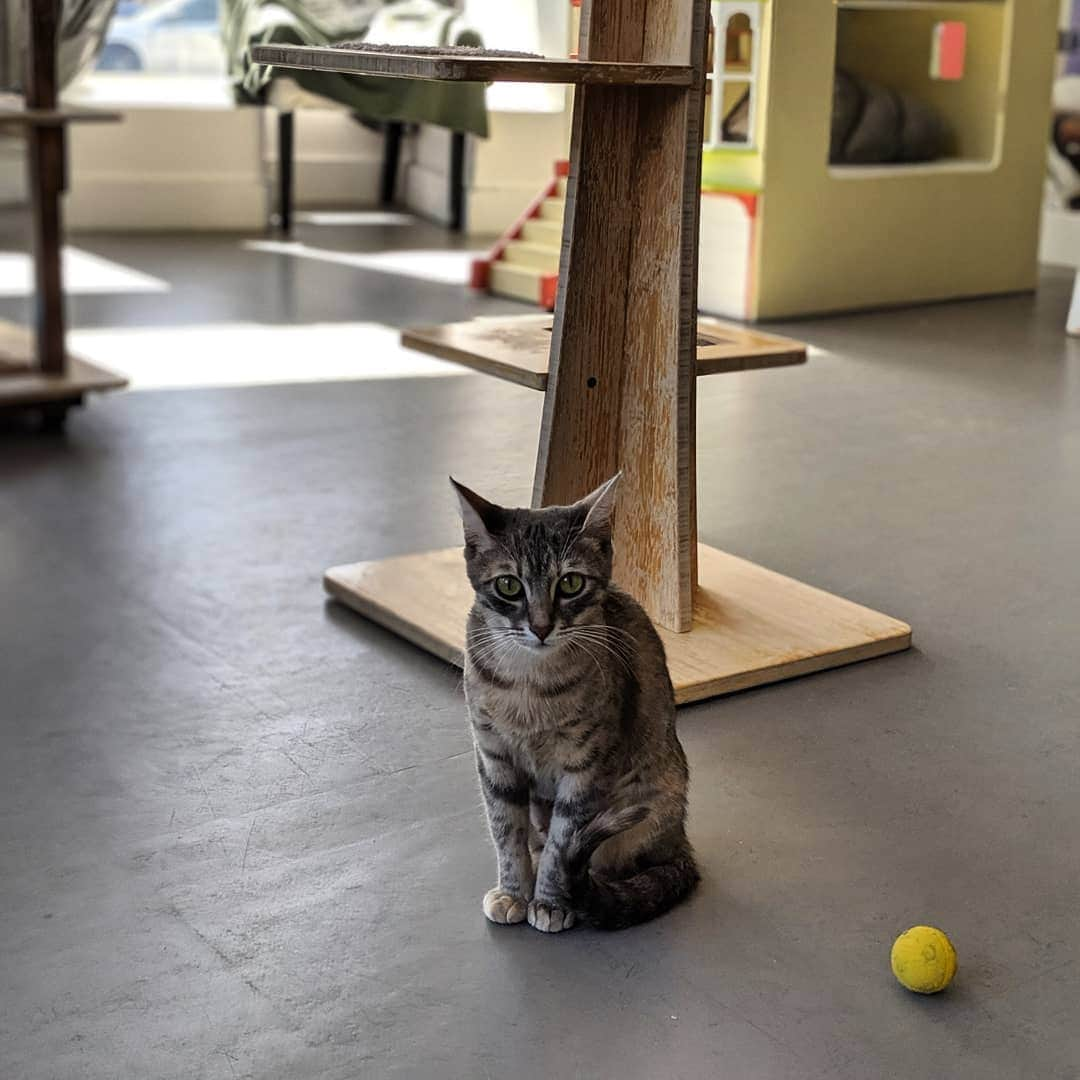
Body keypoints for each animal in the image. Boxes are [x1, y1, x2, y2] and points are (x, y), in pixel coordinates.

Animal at [449, 477, 695, 933]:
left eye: (570, 584)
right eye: (508, 586)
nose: (542, 627)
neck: (528, 684)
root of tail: (679, 841)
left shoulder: (586, 768)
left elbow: (564, 844)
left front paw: (550, 901)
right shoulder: (494, 757)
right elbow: (505, 831)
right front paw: (514, 892)